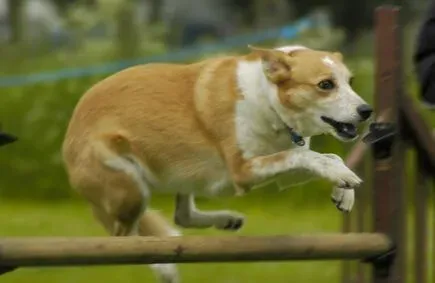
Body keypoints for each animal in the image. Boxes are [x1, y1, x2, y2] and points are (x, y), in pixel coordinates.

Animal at [61, 45, 374, 283]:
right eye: (325, 85)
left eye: (350, 81)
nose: (367, 110)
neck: (267, 100)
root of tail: (67, 142)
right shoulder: (244, 170)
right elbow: (304, 156)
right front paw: (342, 178)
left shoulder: (283, 171)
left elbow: (325, 157)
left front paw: (344, 188)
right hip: (130, 186)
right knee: (124, 238)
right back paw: (163, 265)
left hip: (180, 173)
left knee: (181, 216)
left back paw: (226, 220)